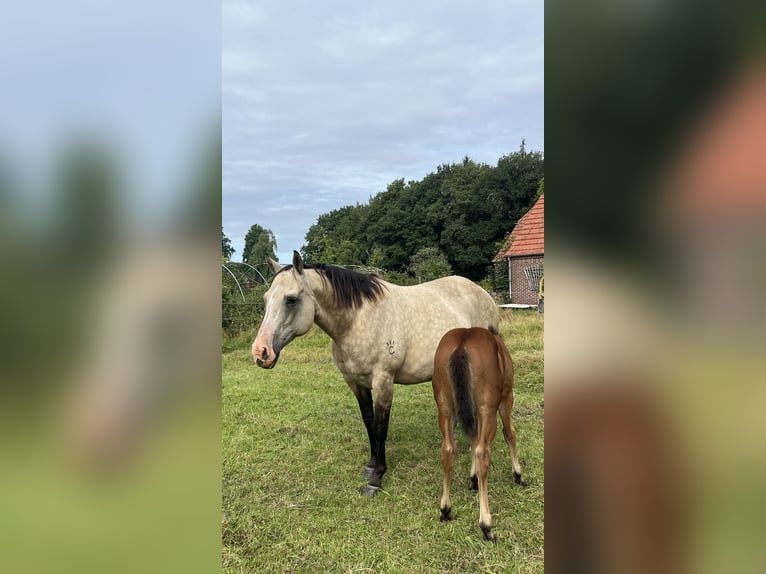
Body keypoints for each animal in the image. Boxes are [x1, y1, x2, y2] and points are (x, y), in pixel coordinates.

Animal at [252, 250, 499, 496]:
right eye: (265, 299)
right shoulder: (356, 383)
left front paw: (377, 478)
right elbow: (368, 422)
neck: (356, 321)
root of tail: (483, 295)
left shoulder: (383, 381)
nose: (261, 352)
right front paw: (371, 466)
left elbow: (381, 428)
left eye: (291, 299)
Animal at [432, 326, 524, 542]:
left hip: (446, 408)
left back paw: (445, 509)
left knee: (448, 449)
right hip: (487, 409)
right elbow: (510, 433)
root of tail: (461, 345)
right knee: (483, 452)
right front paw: (518, 474)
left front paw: (472, 478)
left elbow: (472, 440)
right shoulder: (506, 397)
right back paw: (486, 524)